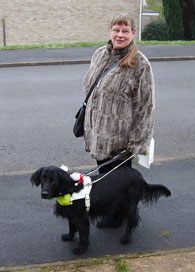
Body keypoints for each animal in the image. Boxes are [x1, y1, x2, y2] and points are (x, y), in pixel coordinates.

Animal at [30, 164, 171, 255]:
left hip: (129, 204)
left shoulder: (81, 218)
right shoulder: (72, 214)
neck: (70, 188)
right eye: (42, 178)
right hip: (120, 202)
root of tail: (140, 176)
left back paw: (125, 239)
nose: (44, 193)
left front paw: (80, 249)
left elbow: (83, 235)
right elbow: (71, 227)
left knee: (132, 221)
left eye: (53, 180)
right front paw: (69, 237)